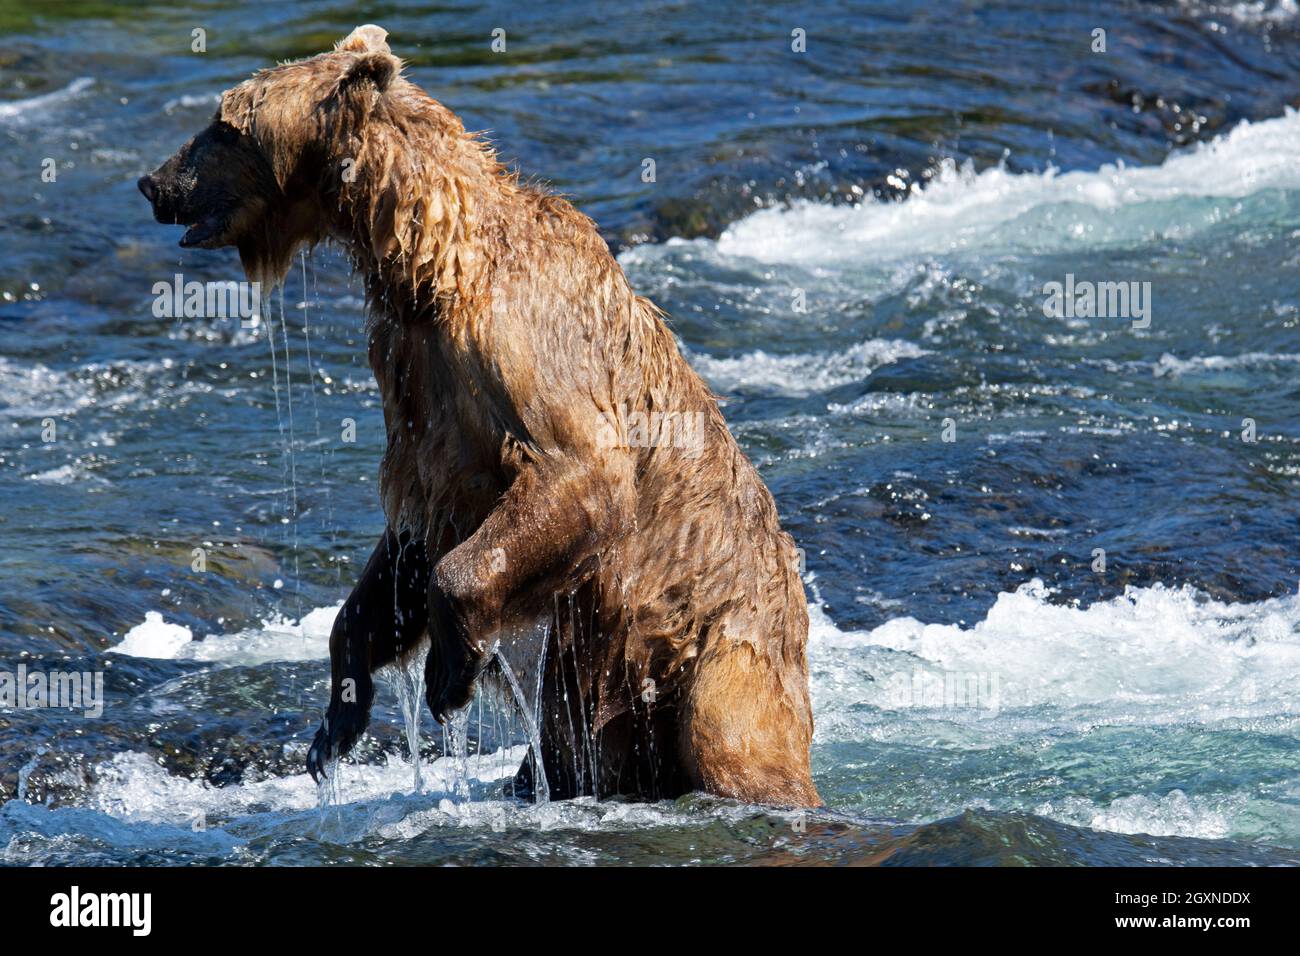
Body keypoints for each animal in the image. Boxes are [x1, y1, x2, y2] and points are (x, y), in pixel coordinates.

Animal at [139, 24, 811, 806]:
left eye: (226, 123)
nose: (155, 182)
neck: (431, 268)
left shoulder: (518, 348)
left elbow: (575, 471)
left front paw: (449, 676)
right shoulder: (422, 392)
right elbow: (411, 538)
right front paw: (337, 717)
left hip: (719, 650)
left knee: (733, 743)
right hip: (598, 701)